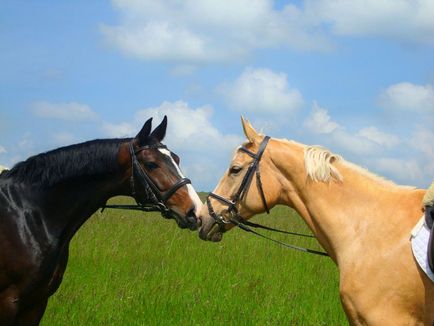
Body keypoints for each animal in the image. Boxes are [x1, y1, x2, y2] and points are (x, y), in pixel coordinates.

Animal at [0, 116, 203, 324]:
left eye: (177, 159)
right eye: (151, 164)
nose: (195, 211)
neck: (29, 215)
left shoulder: (37, 302)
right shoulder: (8, 301)